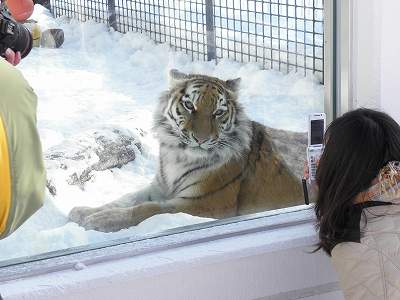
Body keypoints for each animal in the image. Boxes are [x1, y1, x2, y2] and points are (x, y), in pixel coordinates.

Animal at [69, 68, 306, 232]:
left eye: (218, 112)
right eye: (190, 106)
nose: (201, 139)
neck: (178, 157)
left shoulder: (206, 203)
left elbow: (149, 209)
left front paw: (101, 220)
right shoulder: (159, 187)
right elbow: (126, 199)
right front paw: (83, 211)